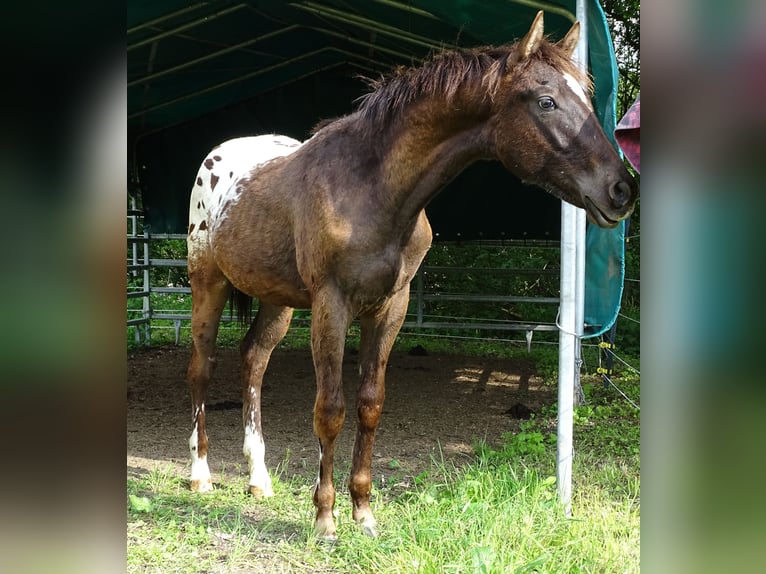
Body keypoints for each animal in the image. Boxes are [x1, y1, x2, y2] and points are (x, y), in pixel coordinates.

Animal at [184, 11, 638, 540]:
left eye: (587, 97)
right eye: (546, 101)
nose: (621, 190)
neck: (372, 189)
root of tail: (218, 156)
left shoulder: (391, 306)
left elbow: (370, 403)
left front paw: (363, 512)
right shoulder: (332, 305)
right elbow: (330, 409)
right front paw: (324, 518)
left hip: (278, 300)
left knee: (254, 360)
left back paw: (258, 478)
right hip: (207, 284)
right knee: (202, 367)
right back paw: (200, 474)